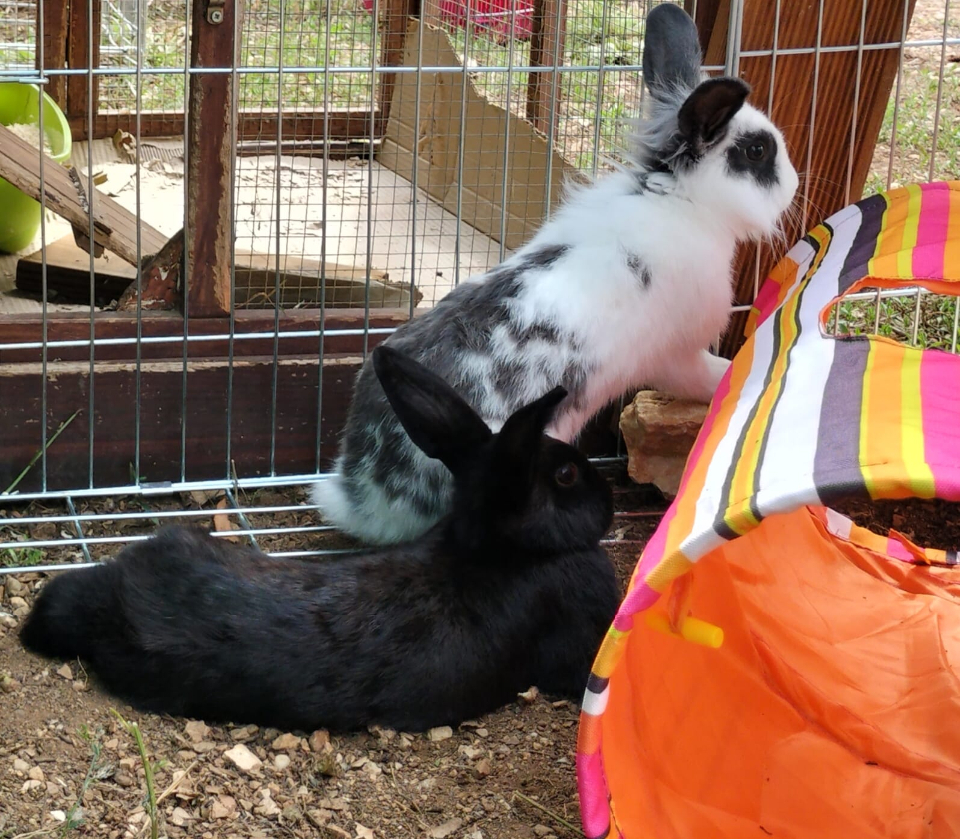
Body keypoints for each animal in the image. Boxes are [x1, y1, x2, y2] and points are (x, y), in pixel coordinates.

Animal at [312, 2, 800, 545]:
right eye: (756, 152)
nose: (795, 184)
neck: (678, 199)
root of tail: (369, 494)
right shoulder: (674, 354)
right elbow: (706, 373)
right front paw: (737, 372)